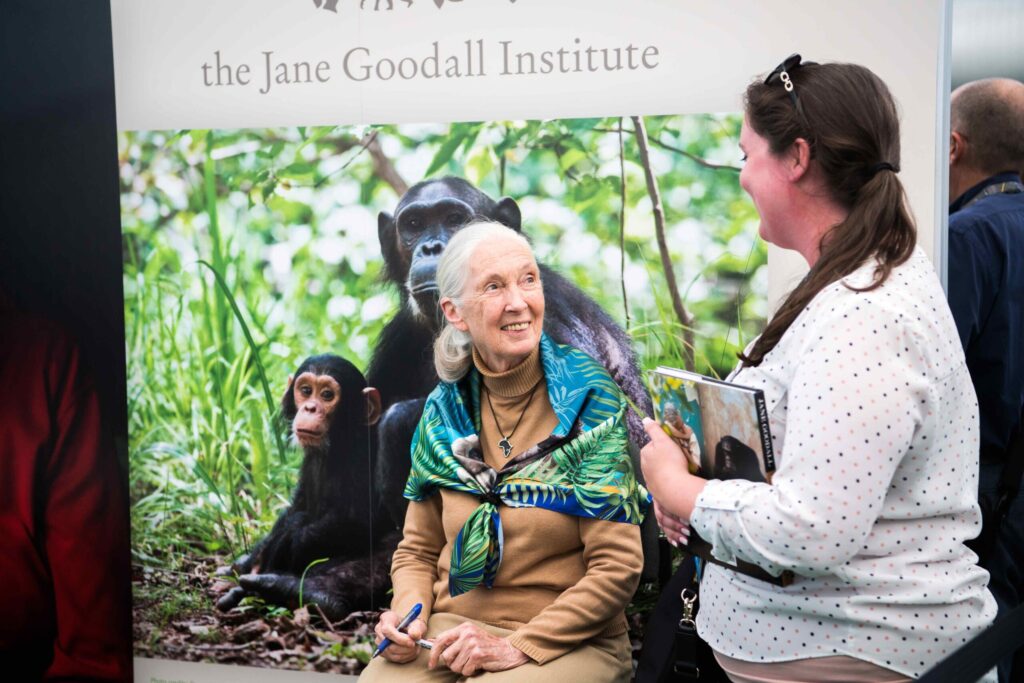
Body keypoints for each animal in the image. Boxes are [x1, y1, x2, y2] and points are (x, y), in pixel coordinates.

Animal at [214, 356, 393, 618]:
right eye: (306, 391)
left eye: (327, 395)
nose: (310, 408)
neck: (336, 443)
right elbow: (298, 504)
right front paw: (250, 560)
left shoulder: (360, 460)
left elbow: (356, 521)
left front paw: (282, 546)